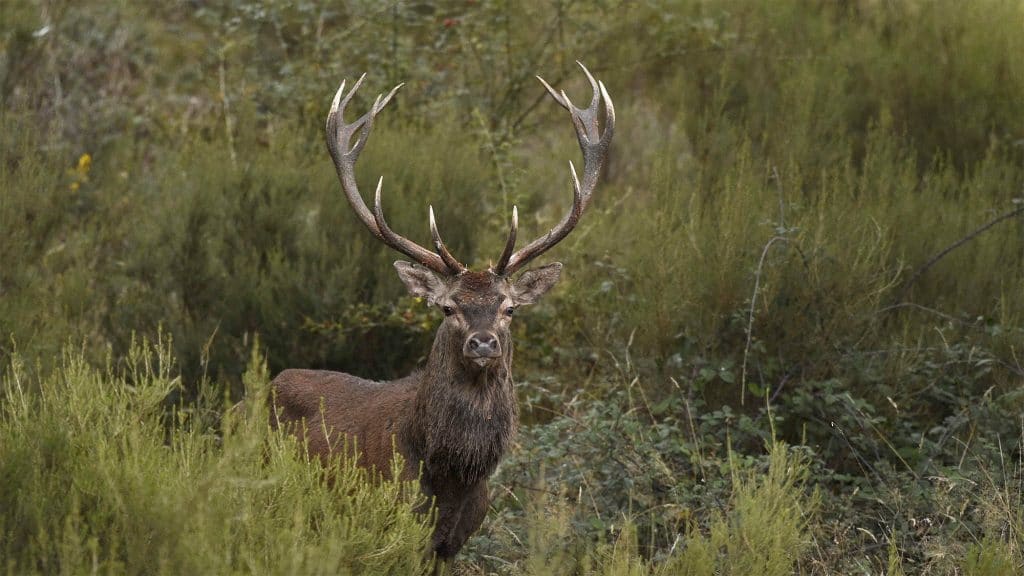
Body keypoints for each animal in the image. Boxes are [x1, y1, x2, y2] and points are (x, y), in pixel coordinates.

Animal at [268, 62, 610, 565]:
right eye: (448, 307)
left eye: (509, 308)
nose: (483, 342)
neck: (452, 475)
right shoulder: (390, 527)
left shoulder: (454, 542)